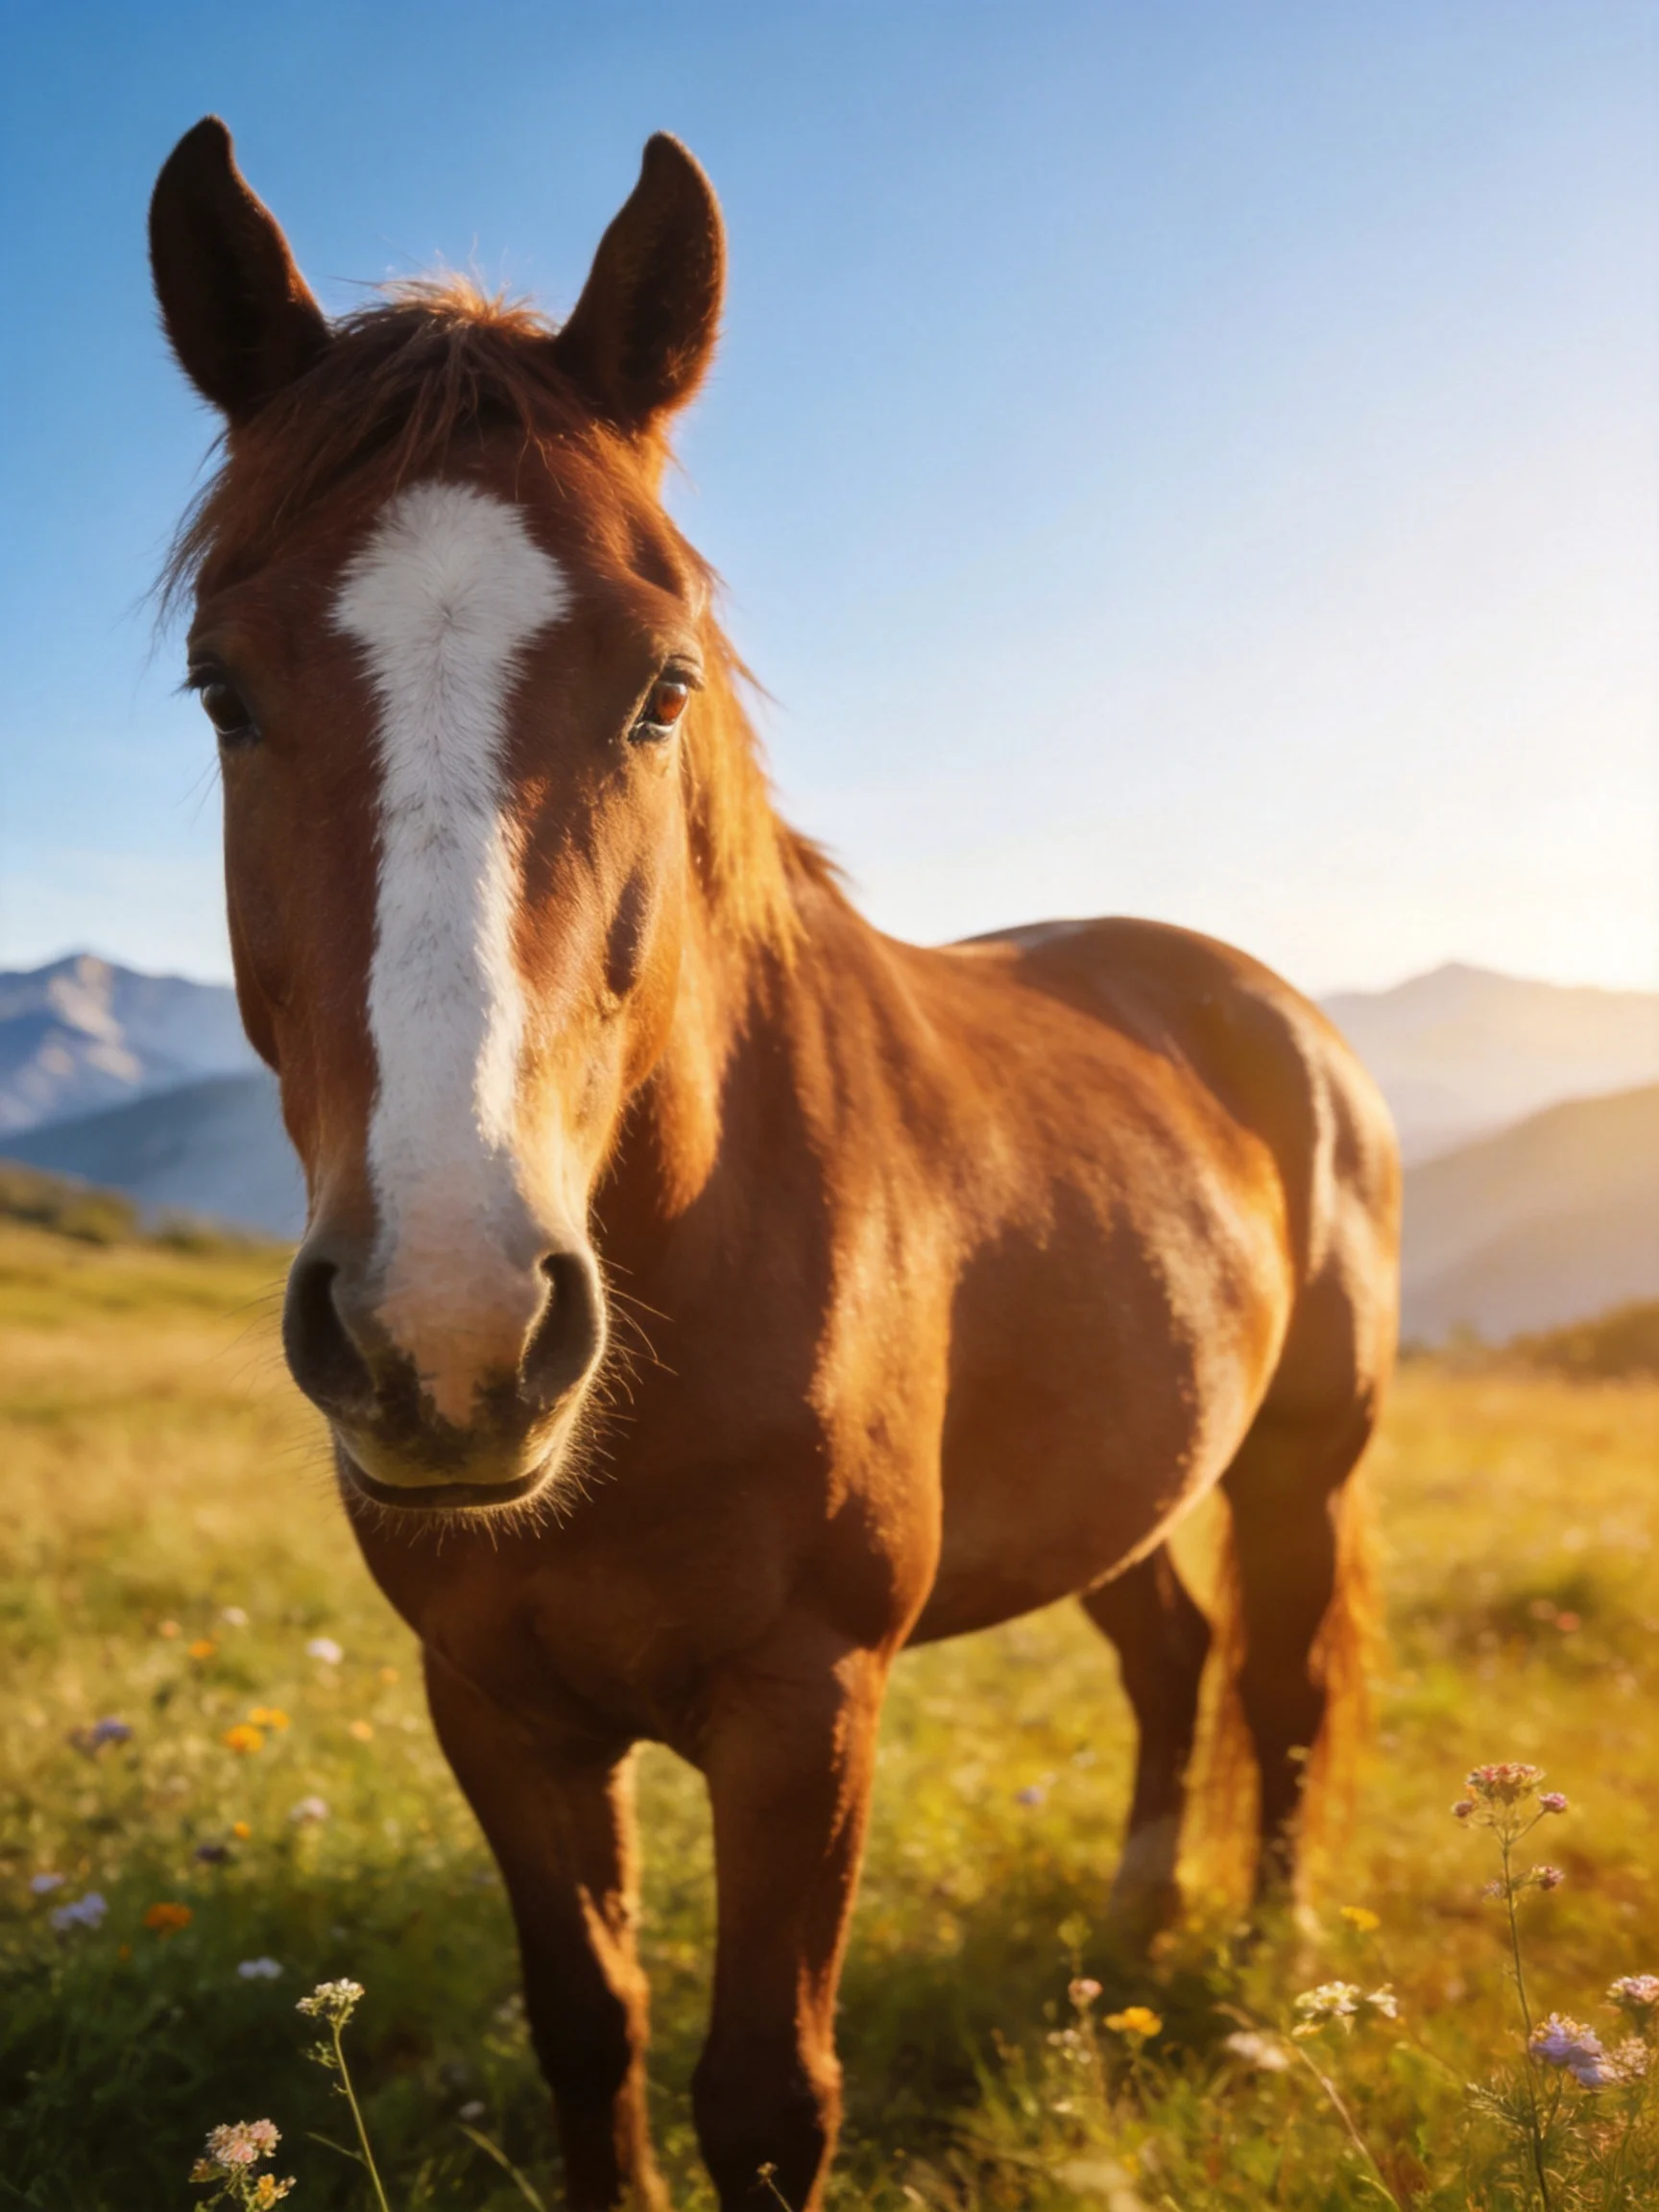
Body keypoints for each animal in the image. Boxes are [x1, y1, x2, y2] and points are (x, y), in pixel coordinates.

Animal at [149, 118, 1400, 2212]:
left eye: (662, 686)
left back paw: (1265, 1958)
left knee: (1283, 1691)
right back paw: (1133, 1929)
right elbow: (591, 2031)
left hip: (1300, 1465)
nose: (449, 1333)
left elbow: (764, 2094)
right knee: (1172, 1656)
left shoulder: (803, 1708)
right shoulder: (494, 1705)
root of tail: (1268, 1011)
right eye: (220, 690)